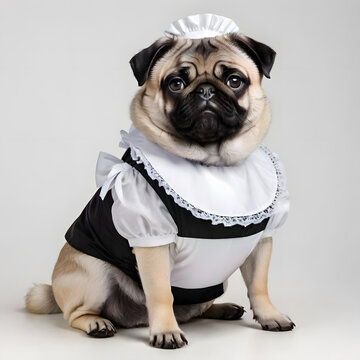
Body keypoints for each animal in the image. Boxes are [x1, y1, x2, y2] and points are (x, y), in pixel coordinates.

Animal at [25, 23, 296, 348]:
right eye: (176, 84)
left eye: (234, 81)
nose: (206, 90)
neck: (213, 164)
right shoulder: (153, 240)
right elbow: (161, 293)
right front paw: (166, 331)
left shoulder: (261, 242)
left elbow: (259, 285)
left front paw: (270, 316)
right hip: (94, 273)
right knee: (75, 313)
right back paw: (96, 322)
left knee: (197, 309)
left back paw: (222, 308)